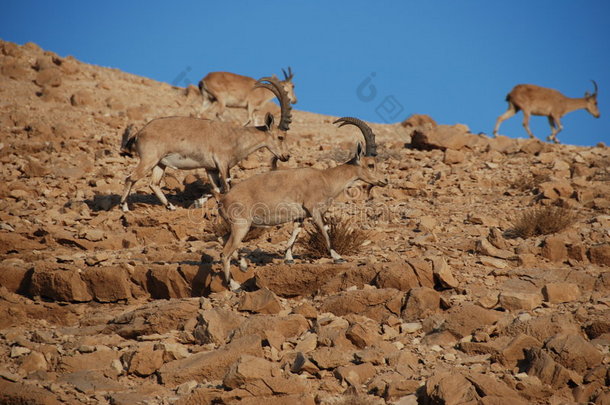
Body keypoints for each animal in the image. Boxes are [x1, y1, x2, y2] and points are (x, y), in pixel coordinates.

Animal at [119, 77, 292, 213]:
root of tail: (140, 132)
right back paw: (124, 207)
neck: (237, 138)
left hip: (160, 163)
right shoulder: (222, 163)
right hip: (149, 159)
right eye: (280, 137)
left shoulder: (211, 168)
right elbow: (226, 187)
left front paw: (197, 203)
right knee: (130, 177)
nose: (286, 156)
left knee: (153, 184)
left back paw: (171, 207)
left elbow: (216, 189)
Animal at [217, 117, 384, 290]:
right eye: (371, 164)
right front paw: (337, 257)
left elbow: (295, 233)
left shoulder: (301, 215)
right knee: (225, 253)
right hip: (241, 226)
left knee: (222, 240)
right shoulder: (314, 209)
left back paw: (243, 265)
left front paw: (289, 258)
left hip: (237, 226)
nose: (383, 181)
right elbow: (324, 230)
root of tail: (222, 200)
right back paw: (234, 285)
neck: (326, 179)